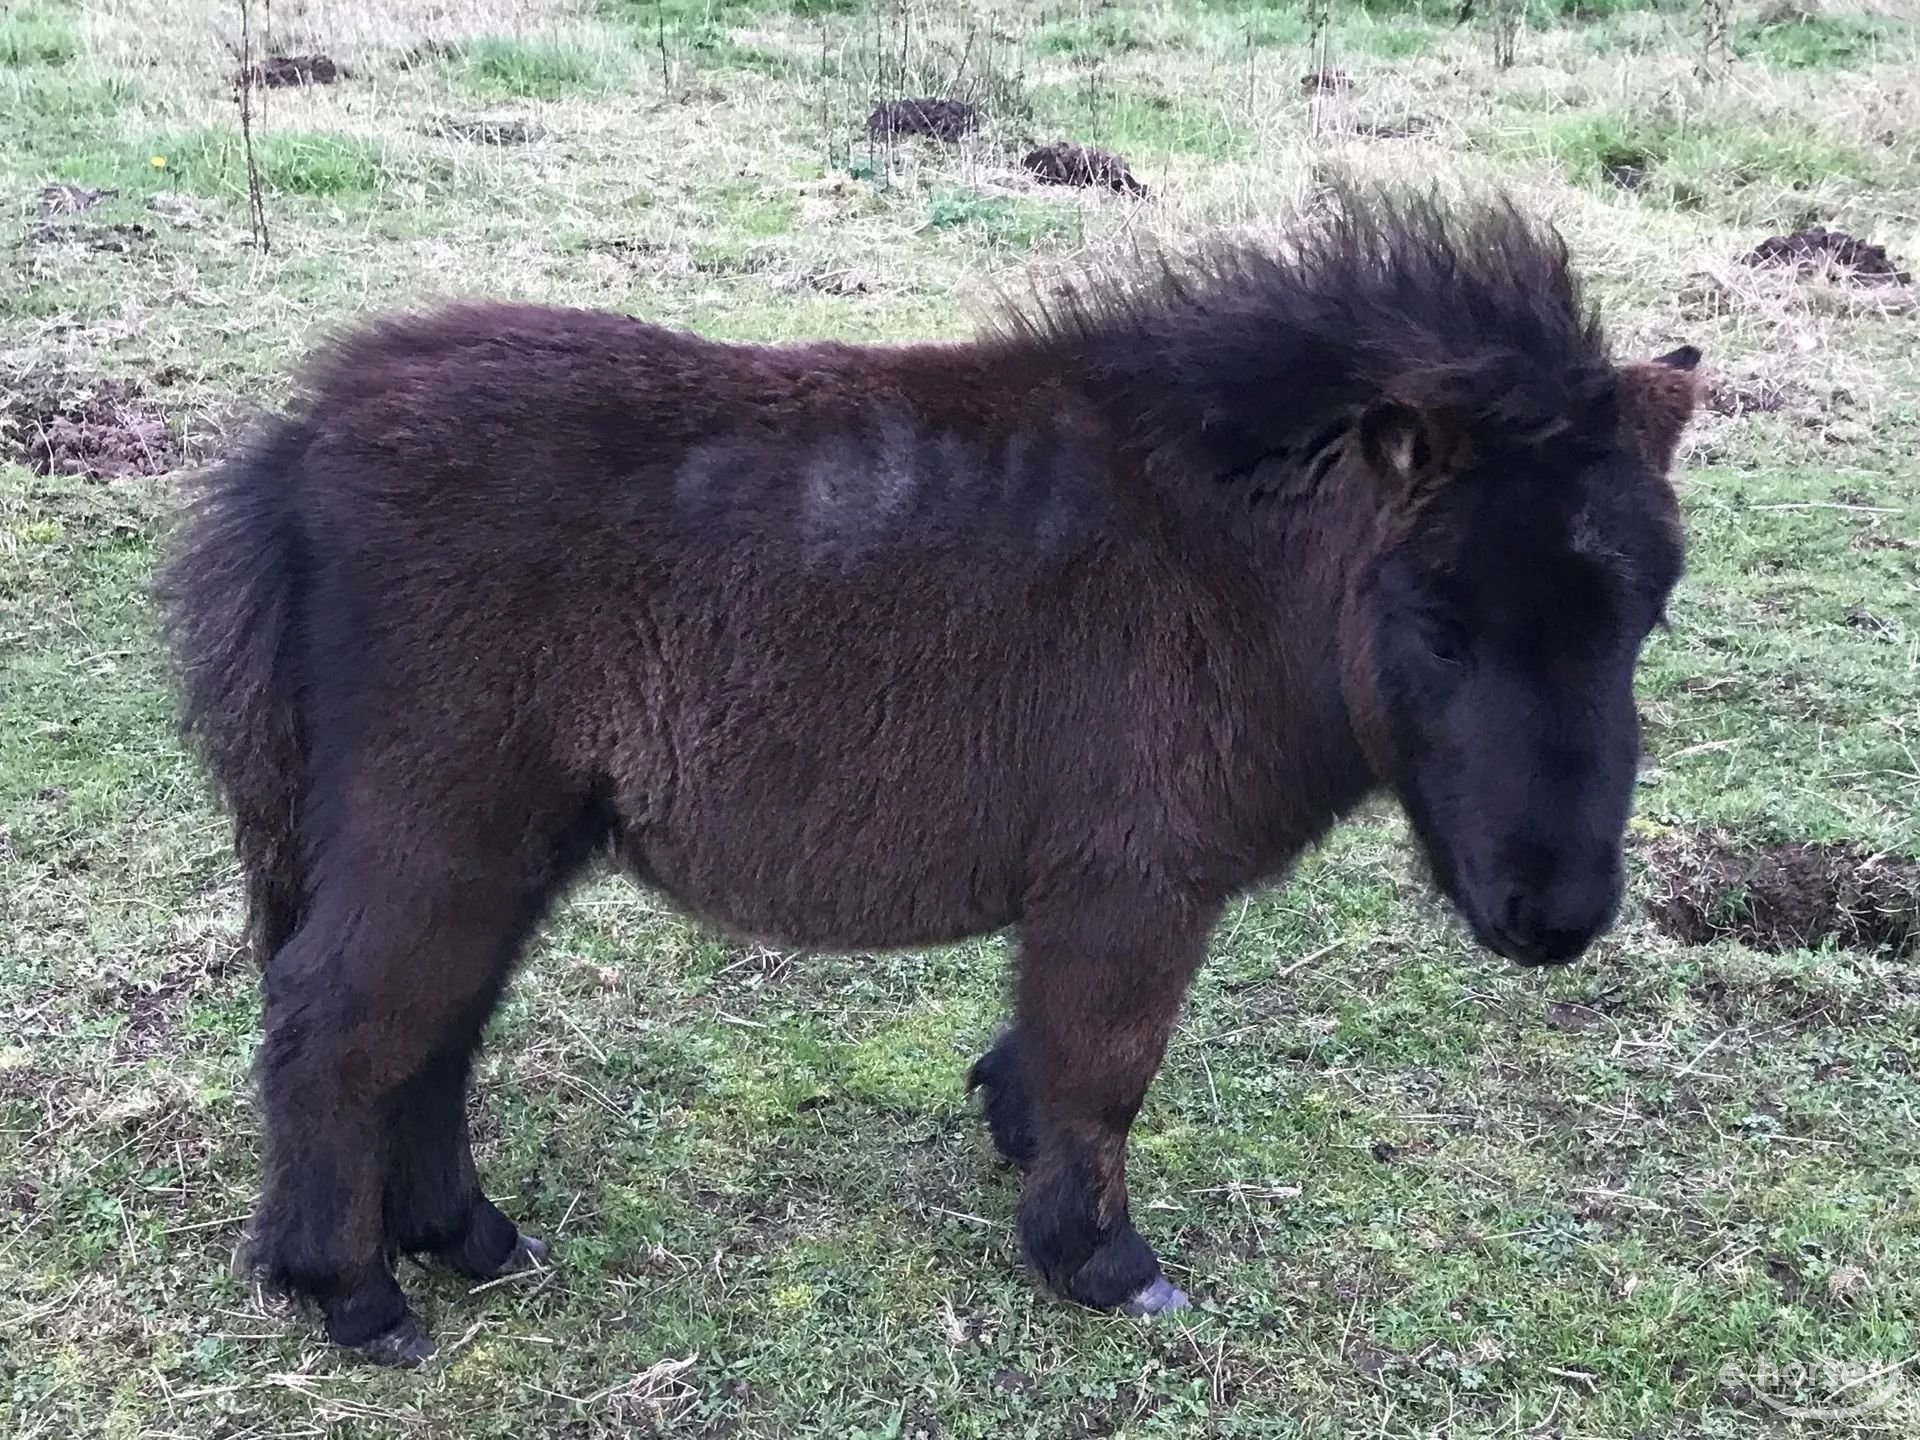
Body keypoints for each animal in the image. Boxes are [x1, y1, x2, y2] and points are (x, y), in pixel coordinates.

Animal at [161, 192, 1697, 1367]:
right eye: (1440, 623)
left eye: (1646, 612)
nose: (1555, 917)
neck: (1218, 559)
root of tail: (306, 446)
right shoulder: (1135, 883)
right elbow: (1107, 1068)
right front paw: (1102, 1261)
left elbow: (1051, 1057)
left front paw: (1018, 1149)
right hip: (438, 840)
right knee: (336, 1030)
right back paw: (354, 1295)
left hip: (499, 850)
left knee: (431, 1036)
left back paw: (467, 1240)